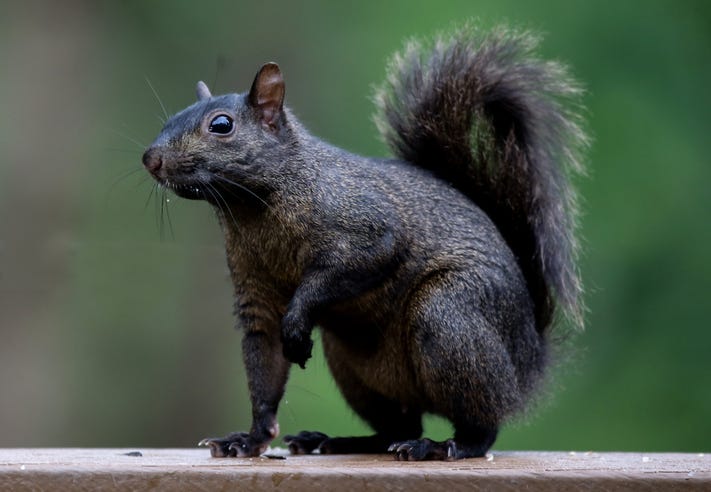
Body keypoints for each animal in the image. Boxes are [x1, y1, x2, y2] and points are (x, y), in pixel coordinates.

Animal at [142, 24, 586, 461]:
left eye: (221, 125)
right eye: (171, 118)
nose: (150, 158)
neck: (253, 207)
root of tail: (527, 362)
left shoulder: (368, 226)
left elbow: (360, 261)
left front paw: (297, 323)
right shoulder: (256, 292)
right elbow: (264, 360)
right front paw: (251, 439)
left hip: (450, 315)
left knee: (482, 425)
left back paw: (446, 446)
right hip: (356, 370)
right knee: (399, 426)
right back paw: (340, 441)